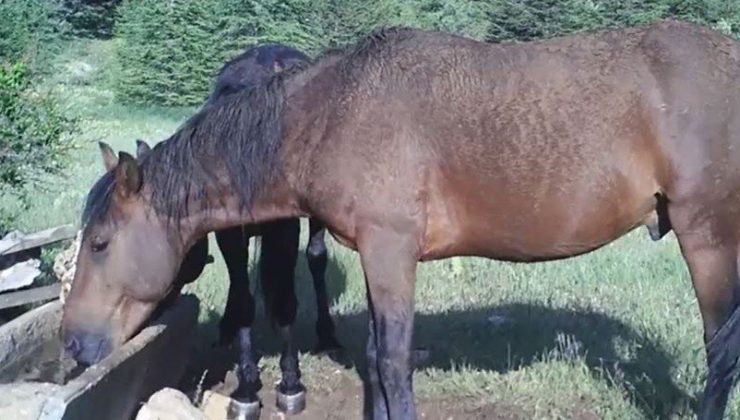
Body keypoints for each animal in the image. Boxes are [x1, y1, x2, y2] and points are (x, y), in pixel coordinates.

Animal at [62, 20, 740, 420]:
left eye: (99, 243)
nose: (72, 343)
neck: (331, 111)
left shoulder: (391, 251)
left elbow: (392, 361)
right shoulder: (373, 252)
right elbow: (374, 355)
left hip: (707, 235)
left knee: (721, 349)